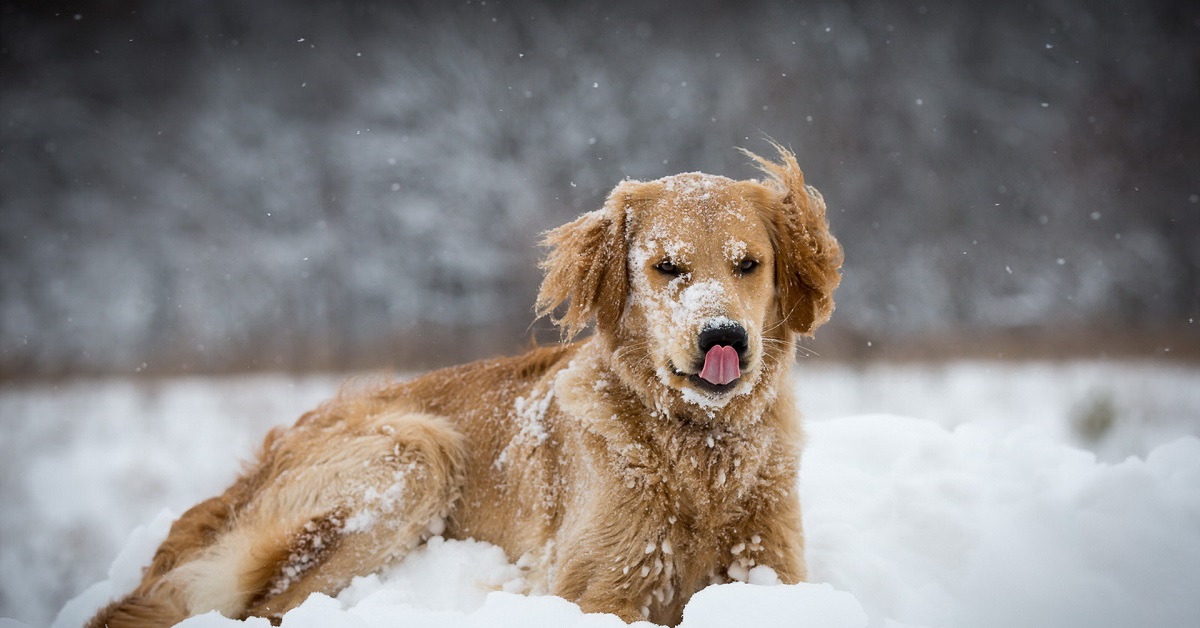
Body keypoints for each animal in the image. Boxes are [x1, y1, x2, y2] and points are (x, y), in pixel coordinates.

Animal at [88, 143, 844, 628]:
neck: (699, 448)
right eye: (667, 268)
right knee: (267, 608)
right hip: (413, 453)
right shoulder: (594, 588)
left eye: (748, 264)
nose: (724, 339)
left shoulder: (773, 569)